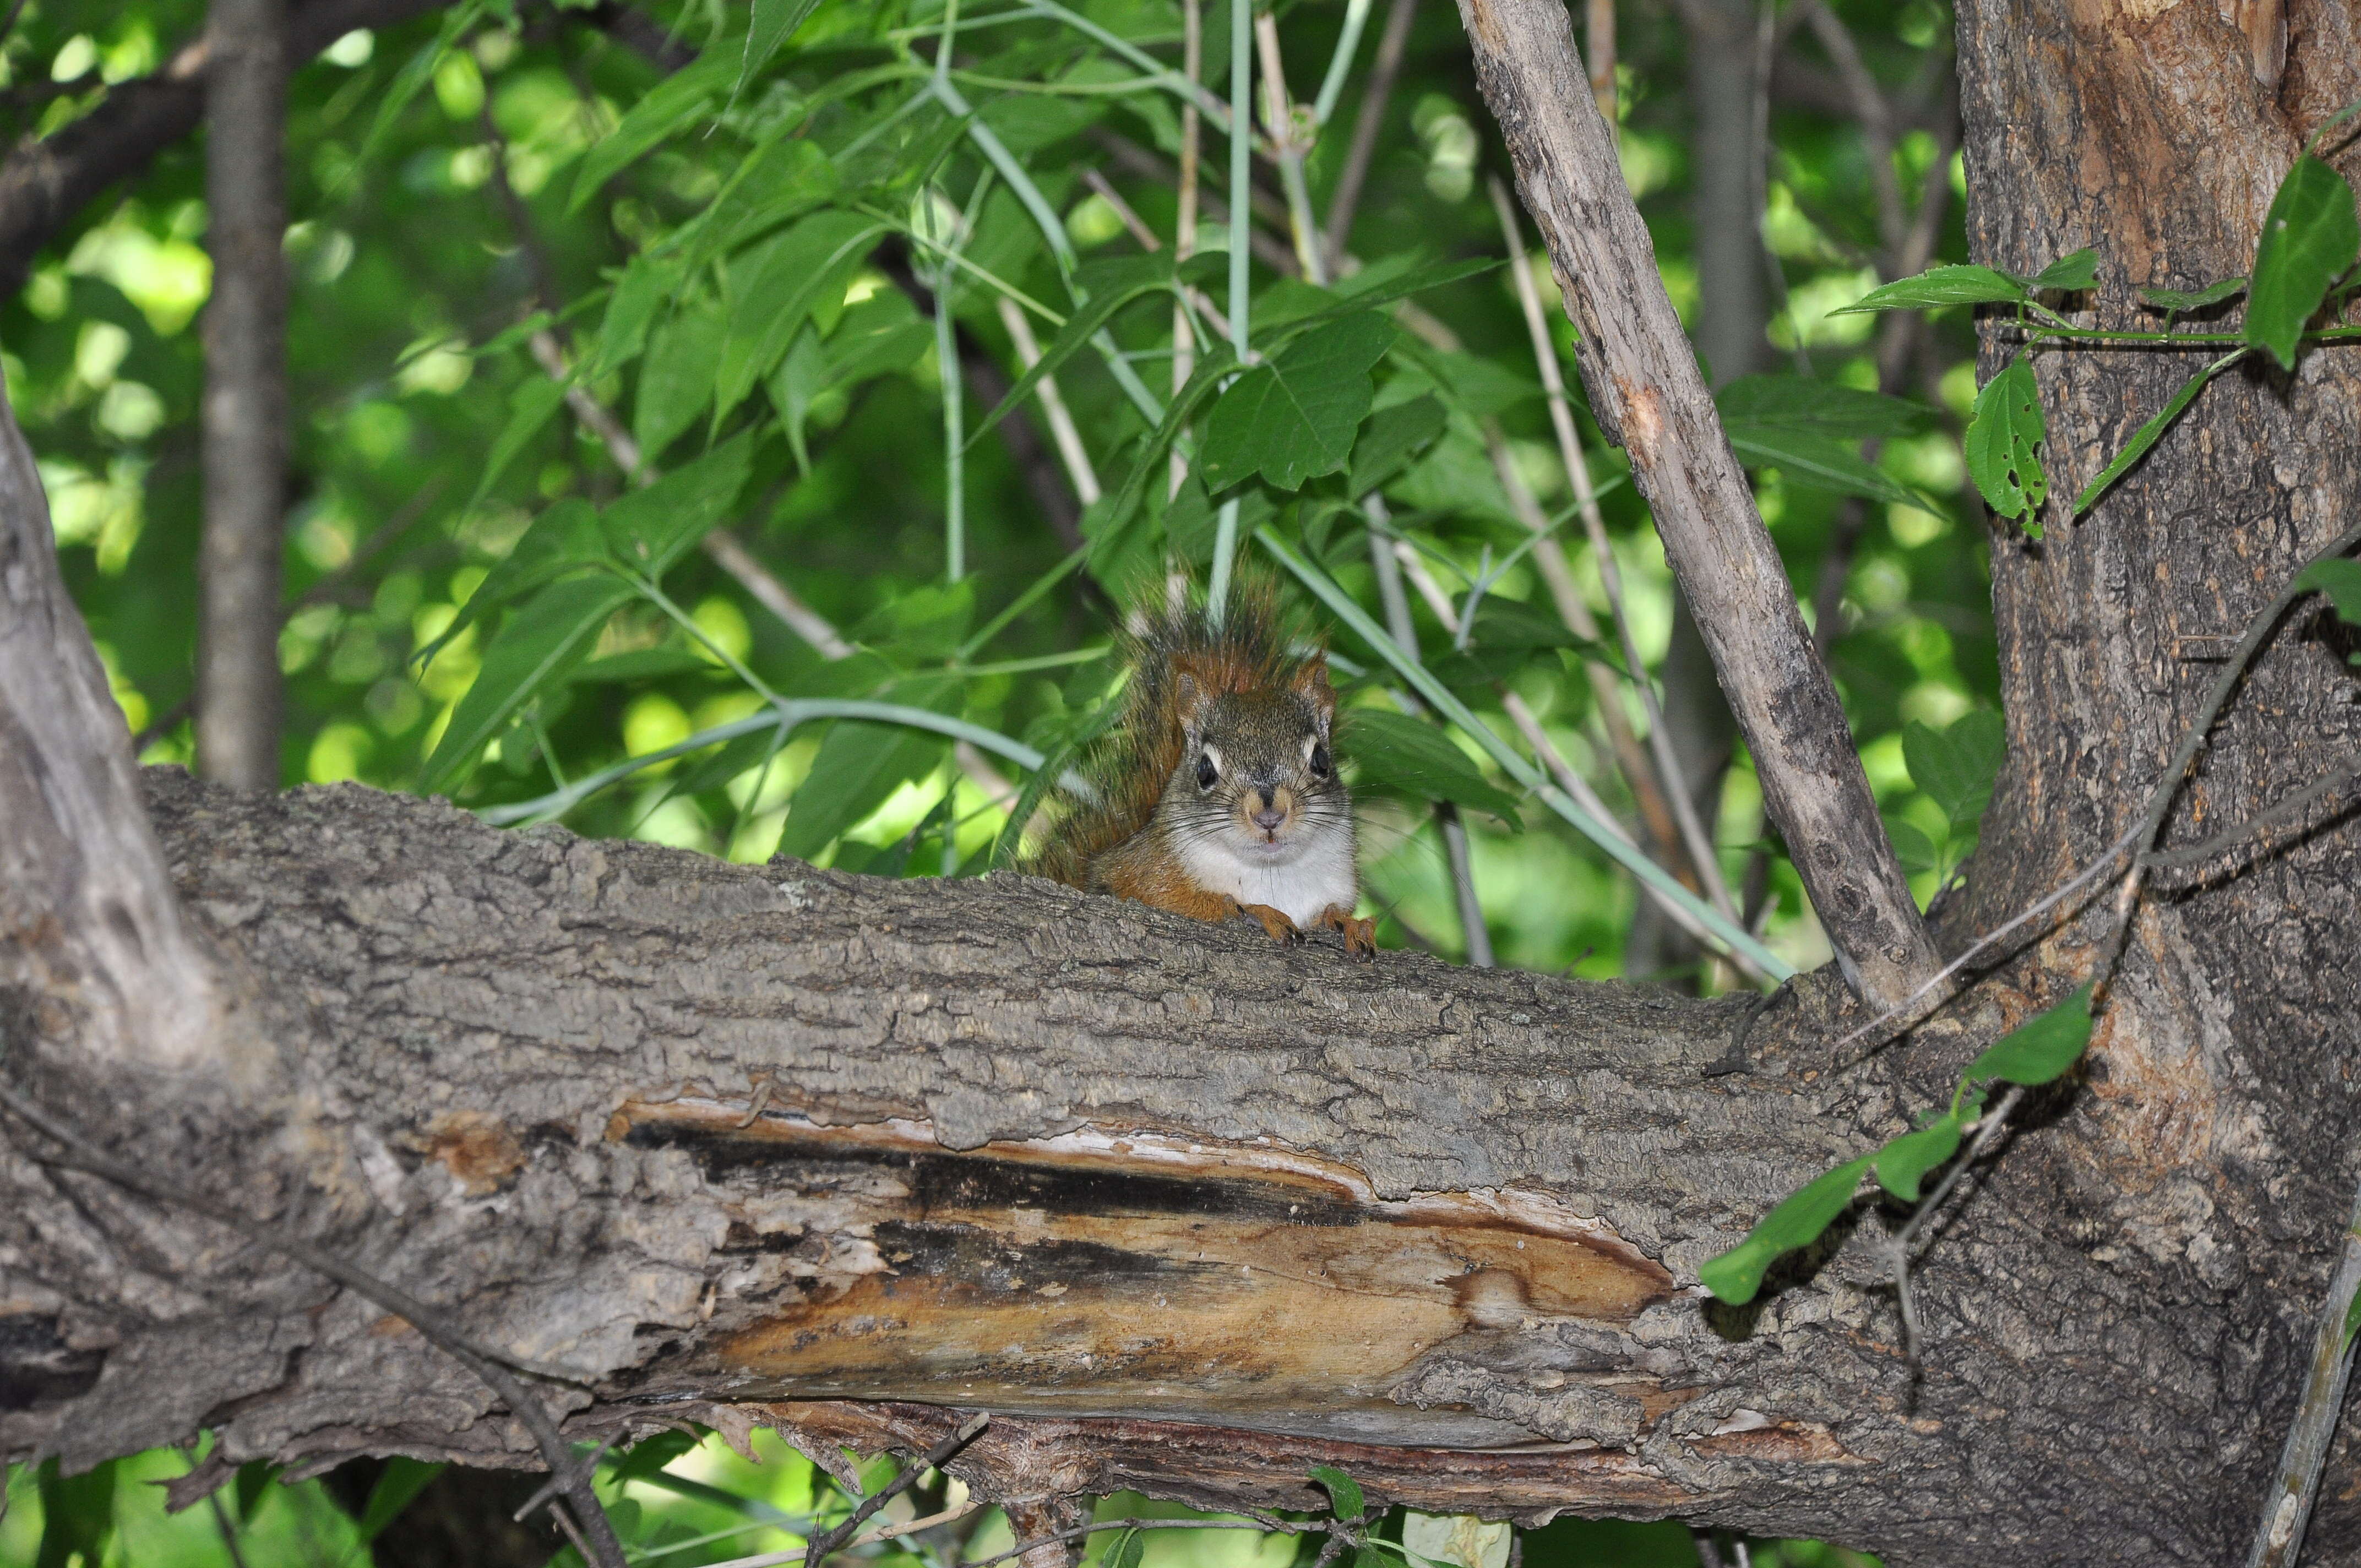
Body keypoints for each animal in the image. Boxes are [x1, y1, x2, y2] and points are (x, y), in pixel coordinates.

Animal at [1034, 581, 1379, 963]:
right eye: (1204, 771)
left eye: (1321, 761)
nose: (1269, 816)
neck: (1272, 872)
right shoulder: (1134, 874)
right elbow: (1189, 903)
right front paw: (1255, 910)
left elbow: (1331, 911)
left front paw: (1347, 922)